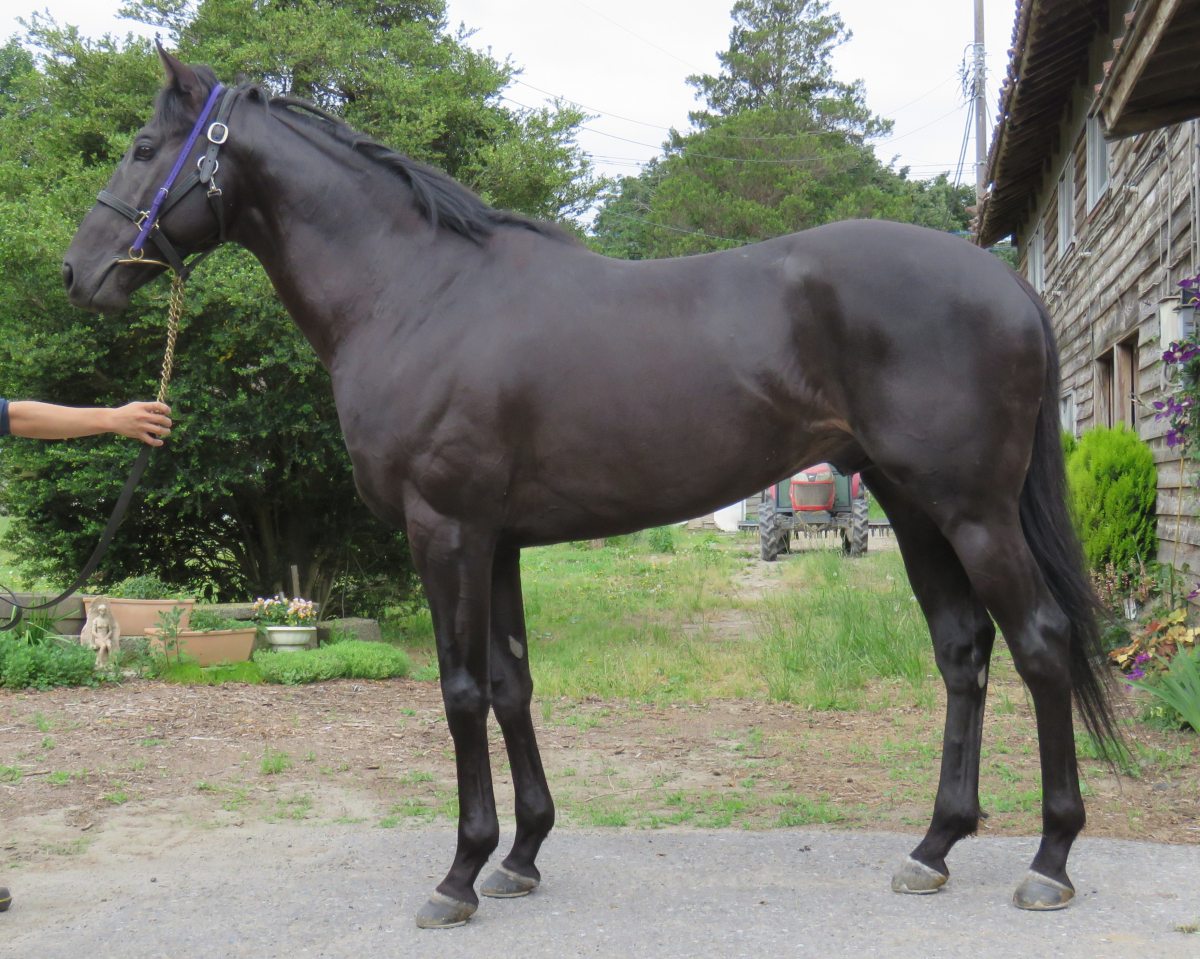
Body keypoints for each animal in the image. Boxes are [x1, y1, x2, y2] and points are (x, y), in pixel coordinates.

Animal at [62, 49, 1117, 926]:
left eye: (145, 147)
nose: (79, 273)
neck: (416, 294)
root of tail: (1003, 281)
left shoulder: (444, 529)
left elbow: (458, 690)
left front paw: (459, 872)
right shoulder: (496, 539)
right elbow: (511, 682)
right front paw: (521, 854)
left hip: (973, 510)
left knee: (1039, 643)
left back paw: (1050, 860)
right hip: (912, 505)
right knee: (963, 650)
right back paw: (933, 846)